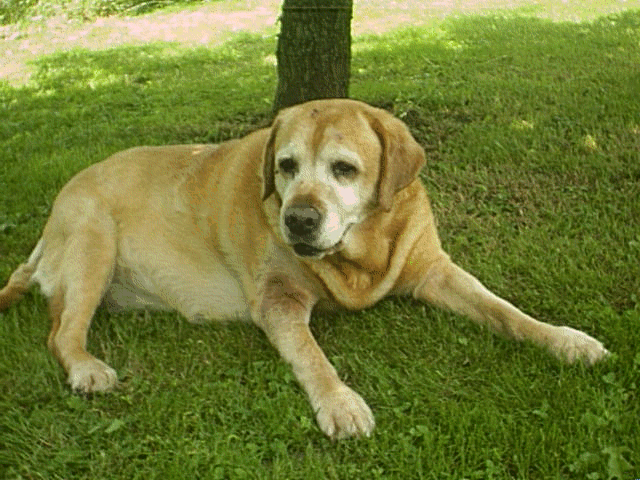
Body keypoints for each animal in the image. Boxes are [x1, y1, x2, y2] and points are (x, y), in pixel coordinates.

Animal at [0, 97, 608, 438]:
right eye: (286, 166)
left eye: (344, 169)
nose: (298, 219)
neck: (360, 256)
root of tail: (50, 217)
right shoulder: (279, 301)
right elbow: (314, 357)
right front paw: (340, 403)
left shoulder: (436, 270)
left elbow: (506, 311)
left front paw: (565, 340)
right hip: (93, 242)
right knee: (60, 333)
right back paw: (86, 368)